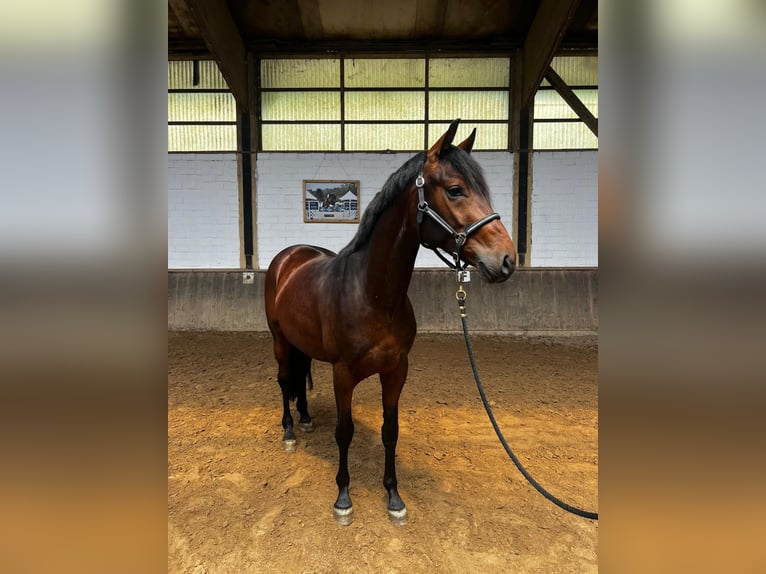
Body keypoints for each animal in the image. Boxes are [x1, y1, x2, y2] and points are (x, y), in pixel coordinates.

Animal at [264, 119, 516, 526]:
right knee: (285, 379)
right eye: (456, 190)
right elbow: (345, 432)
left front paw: (394, 498)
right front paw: (343, 499)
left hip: (302, 343)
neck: (373, 295)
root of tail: (288, 257)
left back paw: (304, 418)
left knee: (299, 379)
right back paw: (289, 432)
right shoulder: (343, 374)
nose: (507, 259)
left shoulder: (397, 370)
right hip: (280, 341)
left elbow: (391, 430)